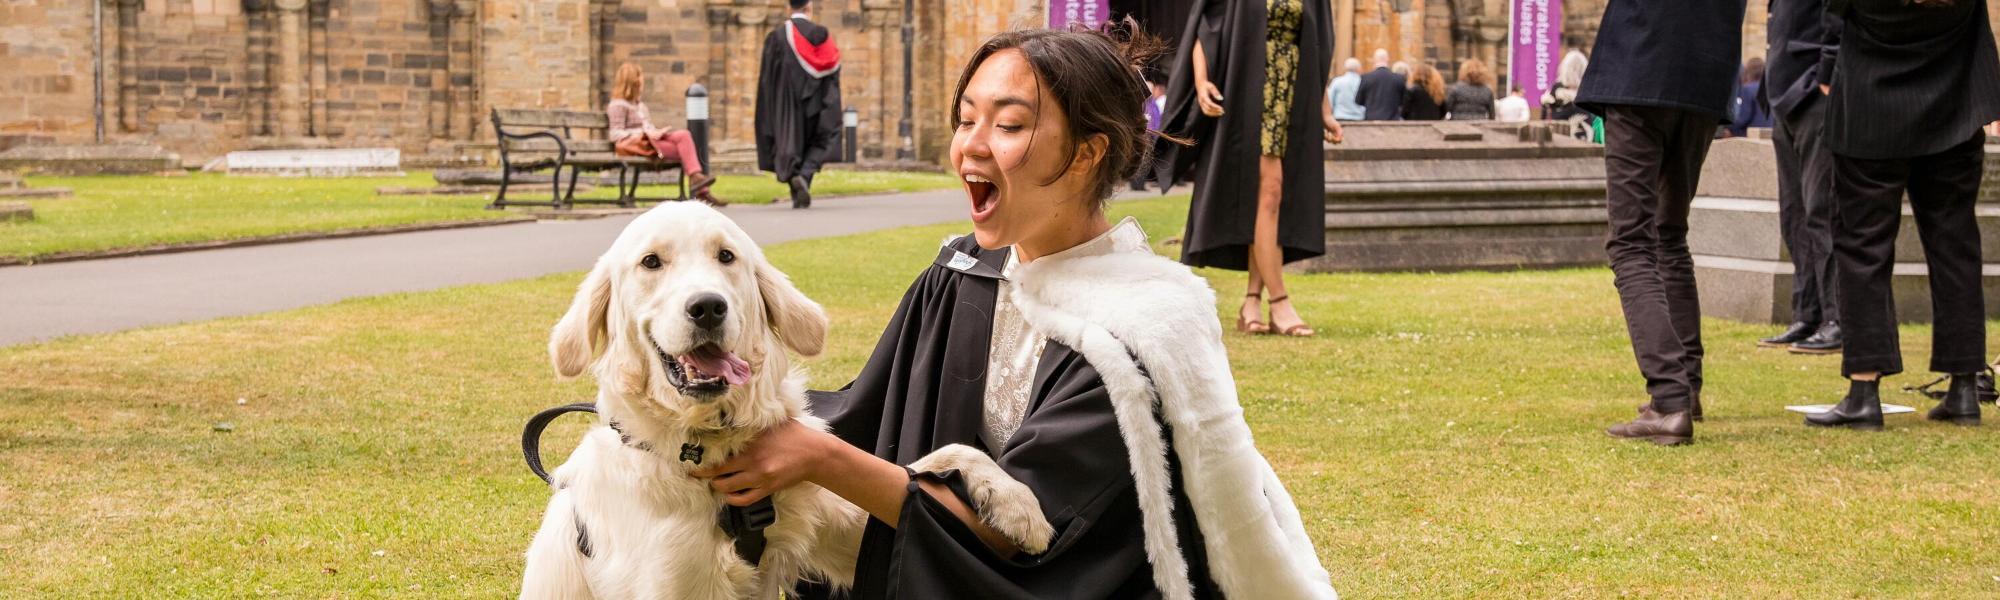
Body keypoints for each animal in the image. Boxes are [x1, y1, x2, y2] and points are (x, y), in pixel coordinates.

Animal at [524, 204, 1056, 596]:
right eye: (651, 262)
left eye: (726, 257)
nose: (708, 306)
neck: (711, 449)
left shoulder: (842, 523)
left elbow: (923, 466)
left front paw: (1016, 504)